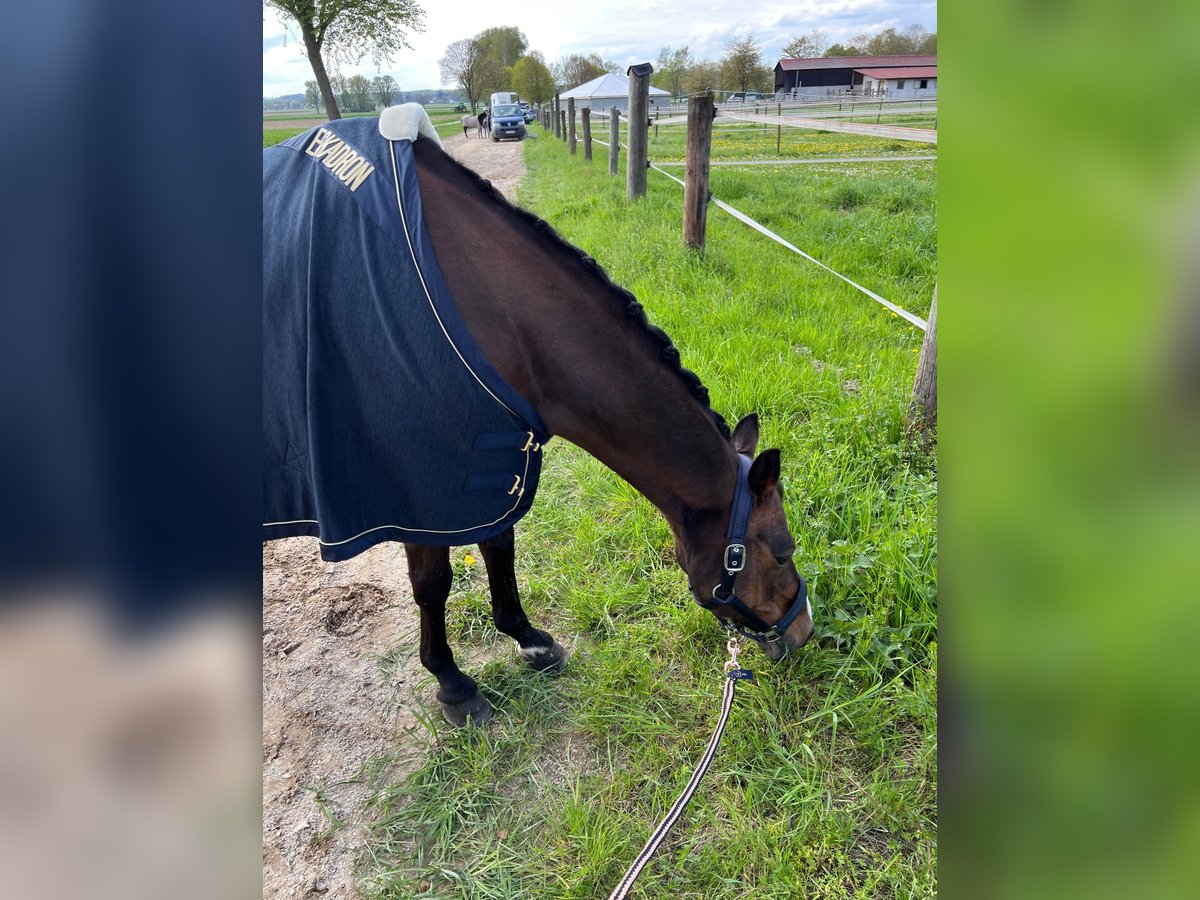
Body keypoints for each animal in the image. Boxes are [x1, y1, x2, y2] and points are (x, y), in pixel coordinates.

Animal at [258, 105, 811, 729]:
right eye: (783, 551)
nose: (804, 631)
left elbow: (500, 548)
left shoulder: (489, 461)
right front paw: (452, 684)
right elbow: (433, 582)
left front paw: (527, 638)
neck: (487, 309)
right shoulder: (420, 490)